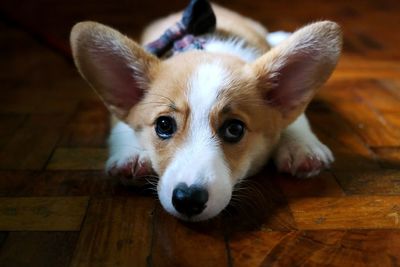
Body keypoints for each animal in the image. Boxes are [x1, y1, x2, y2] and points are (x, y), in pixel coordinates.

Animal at [70, 0, 342, 222]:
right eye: (164, 125)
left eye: (234, 129)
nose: (188, 199)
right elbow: (122, 124)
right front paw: (133, 155)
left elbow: (296, 118)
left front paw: (302, 147)